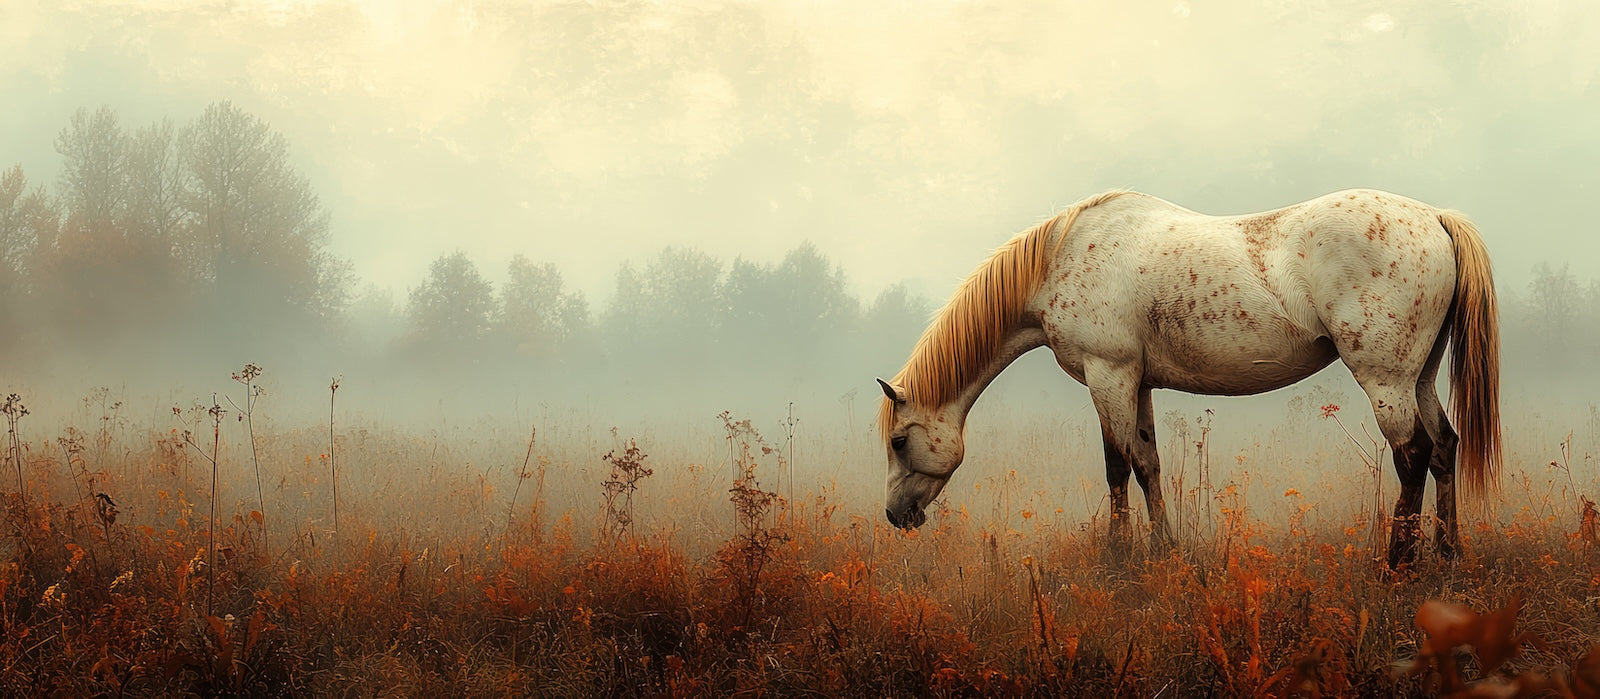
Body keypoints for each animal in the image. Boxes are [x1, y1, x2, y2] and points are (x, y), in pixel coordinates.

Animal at [875, 189, 1499, 569]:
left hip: (1385, 378)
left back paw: (1398, 561)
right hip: (1419, 376)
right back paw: (1447, 552)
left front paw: (1119, 555)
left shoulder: (1108, 375)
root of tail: (1435, 218)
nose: (895, 516)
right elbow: (1148, 462)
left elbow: (1116, 465)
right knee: (1444, 448)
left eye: (899, 440)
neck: (1059, 259)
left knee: (1412, 455)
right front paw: (1165, 549)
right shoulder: (1138, 383)